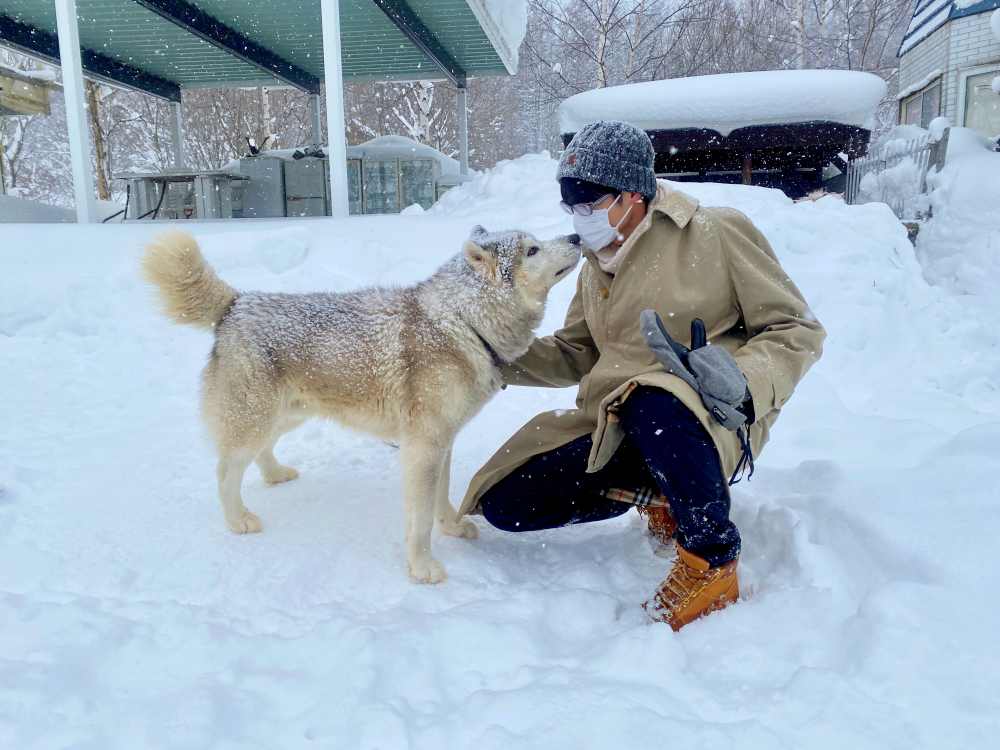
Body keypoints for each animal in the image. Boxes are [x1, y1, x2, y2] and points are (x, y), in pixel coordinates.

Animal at [140, 226, 580, 584]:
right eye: (532, 249)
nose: (576, 237)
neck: (464, 322)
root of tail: (238, 302)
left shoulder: (443, 443)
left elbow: (441, 500)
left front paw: (452, 529)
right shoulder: (423, 448)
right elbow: (420, 520)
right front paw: (422, 568)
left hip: (287, 415)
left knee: (260, 452)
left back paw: (276, 475)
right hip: (255, 418)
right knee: (225, 471)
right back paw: (237, 520)